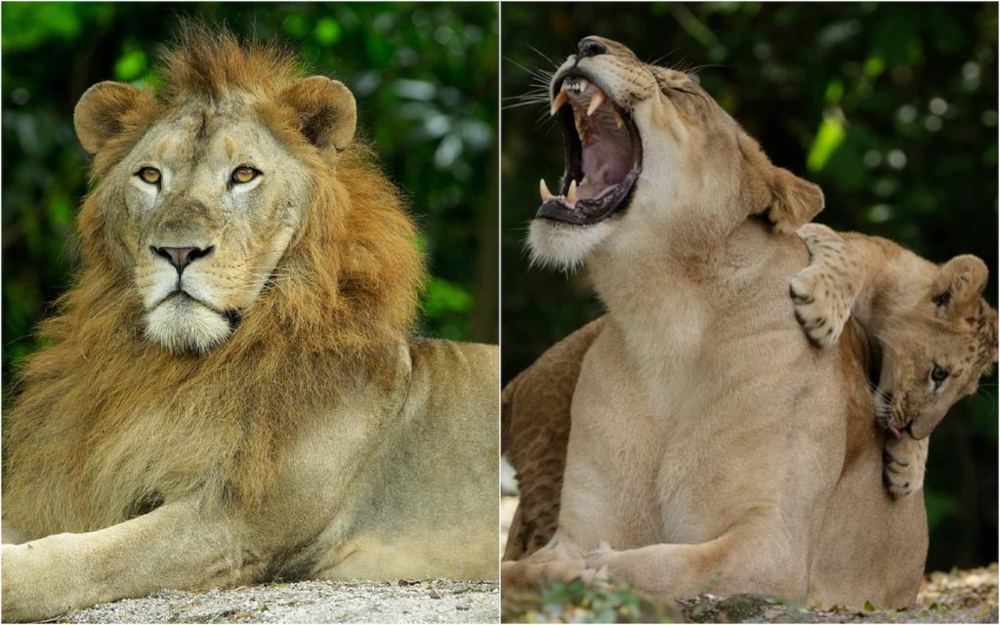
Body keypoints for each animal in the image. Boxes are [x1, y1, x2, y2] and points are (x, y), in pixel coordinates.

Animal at [1, 27, 498, 622]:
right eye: (150, 175)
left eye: (243, 175)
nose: (178, 251)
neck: (182, 367)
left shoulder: (236, 525)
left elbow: (86, 558)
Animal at [791, 223, 997, 498]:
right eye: (939, 374)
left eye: (963, 395)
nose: (914, 433)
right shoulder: (827, 233)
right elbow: (848, 253)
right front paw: (823, 309)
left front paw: (910, 465)